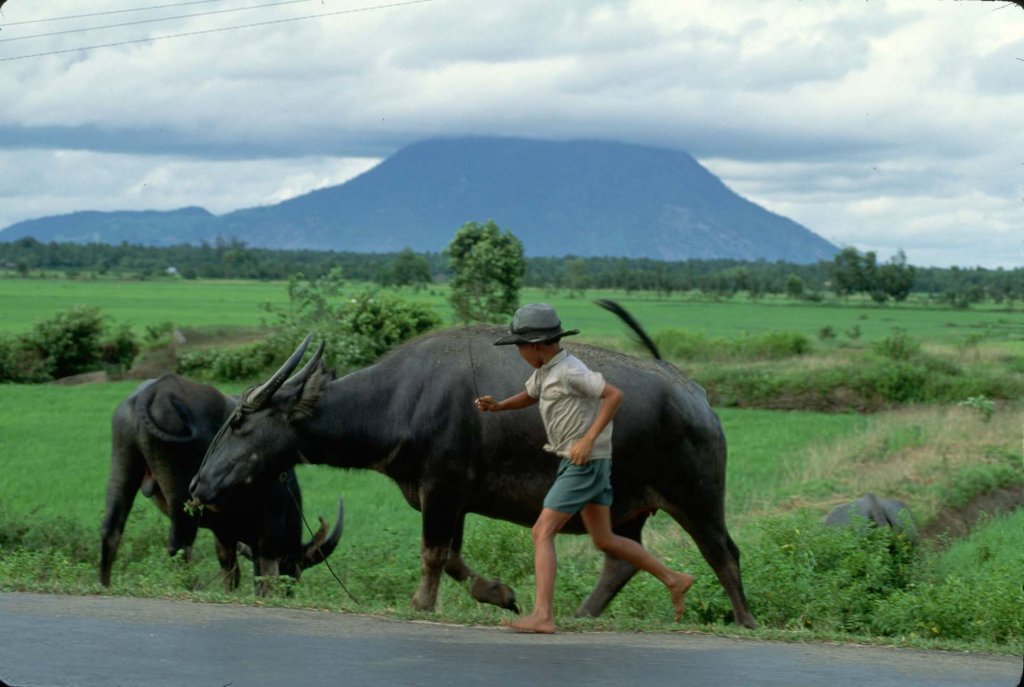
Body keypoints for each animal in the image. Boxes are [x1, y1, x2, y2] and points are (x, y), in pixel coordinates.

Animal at [101, 372, 346, 593]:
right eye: (293, 570)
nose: (288, 593)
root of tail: (155, 390)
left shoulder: (223, 532)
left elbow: (231, 569)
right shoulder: (271, 521)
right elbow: (264, 568)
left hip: (123, 463)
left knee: (110, 529)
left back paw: (104, 585)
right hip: (182, 500)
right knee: (179, 546)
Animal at [190, 303, 753, 630]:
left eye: (239, 420)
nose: (198, 485)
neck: (403, 400)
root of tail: (695, 394)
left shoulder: (442, 488)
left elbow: (433, 555)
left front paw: (422, 606)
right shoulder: (449, 496)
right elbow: (453, 558)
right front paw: (502, 595)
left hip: (696, 496)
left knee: (723, 553)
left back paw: (744, 620)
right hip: (627, 508)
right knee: (620, 561)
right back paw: (580, 615)